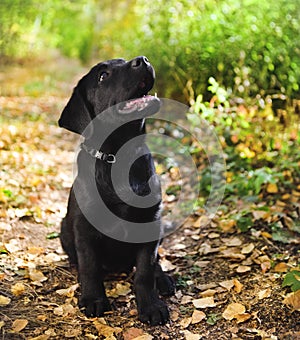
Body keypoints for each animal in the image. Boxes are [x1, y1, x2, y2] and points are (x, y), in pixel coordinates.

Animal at [58, 57, 175, 326]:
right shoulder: (84, 229)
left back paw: (163, 279)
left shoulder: (150, 223)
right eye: (103, 76)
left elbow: (144, 271)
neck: (119, 157)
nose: (143, 60)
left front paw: (151, 305)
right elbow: (89, 267)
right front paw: (93, 299)